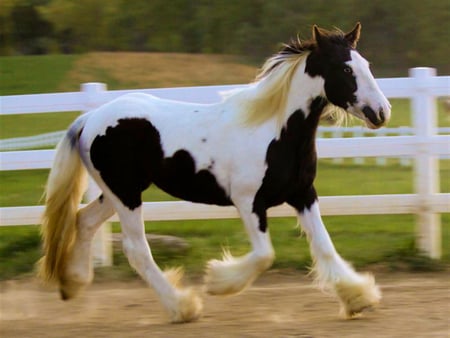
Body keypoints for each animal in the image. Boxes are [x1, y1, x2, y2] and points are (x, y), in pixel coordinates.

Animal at [38, 22, 390, 324]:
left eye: (367, 64)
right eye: (345, 68)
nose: (381, 112)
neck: (273, 130)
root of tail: (90, 118)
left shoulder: (303, 195)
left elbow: (324, 246)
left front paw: (359, 299)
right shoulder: (248, 202)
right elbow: (265, 255)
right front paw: (217, 281)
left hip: (118, 192)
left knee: (83, 220)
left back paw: (73, 283)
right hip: (126, 195)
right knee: (136, 249)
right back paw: (182, 307)